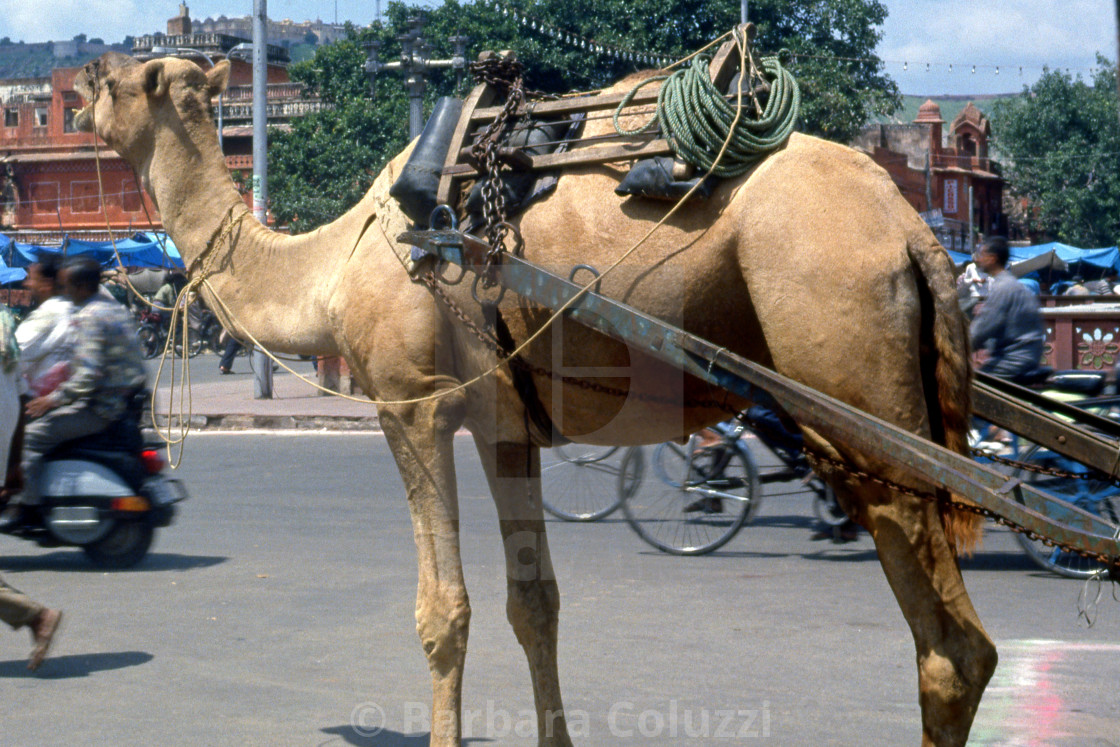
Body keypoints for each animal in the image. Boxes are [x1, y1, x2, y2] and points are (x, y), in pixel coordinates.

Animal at [74, 52, 994, 747]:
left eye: (108, 79)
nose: (78, 91)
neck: (335, 265)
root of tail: (910, 230)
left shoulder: (412, 406)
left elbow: (443, 611)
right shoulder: (504, 424)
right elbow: (535, 603)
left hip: (852, 386)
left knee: (953, 648)